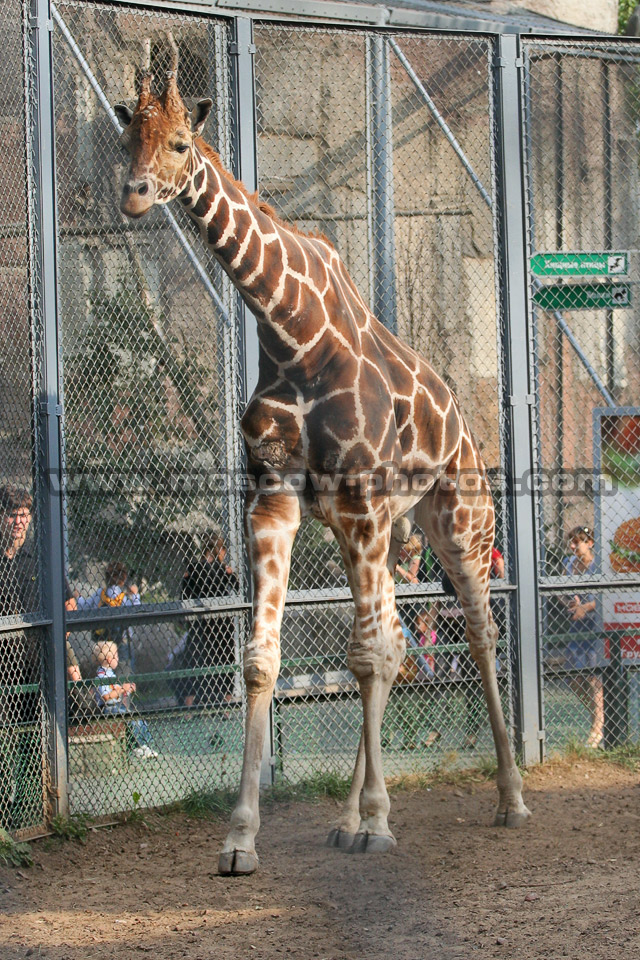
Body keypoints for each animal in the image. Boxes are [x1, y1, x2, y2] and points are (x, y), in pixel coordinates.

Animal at [115, 59, 531, 876]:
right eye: (128, 139)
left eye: (179, 143)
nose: (135, 194)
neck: (290, 329)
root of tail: (465, 426)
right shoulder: (276, 498)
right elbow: (264, 660)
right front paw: (242, 838)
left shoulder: (363, 498)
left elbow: (363, 658)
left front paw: (378, 824)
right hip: (365, 530)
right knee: (397, 642)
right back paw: (350, 815)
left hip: (456, 524)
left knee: (475, 634)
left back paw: (509, 799)